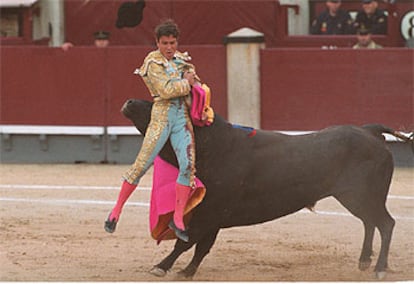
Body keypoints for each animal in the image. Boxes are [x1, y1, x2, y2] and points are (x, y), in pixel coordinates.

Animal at [121, 98, 412, 278]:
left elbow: (187, 241)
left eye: (166, 106)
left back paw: (379, 268)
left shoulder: (210, 212)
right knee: (370, 222)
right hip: (356, 197)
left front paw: (162, 267)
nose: (130, 102)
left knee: (385, 223)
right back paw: (365, 261)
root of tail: (370, 131)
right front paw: (187, 271)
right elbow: (201, 246)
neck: (215, 146)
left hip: (363, 196)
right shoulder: (212, 215)